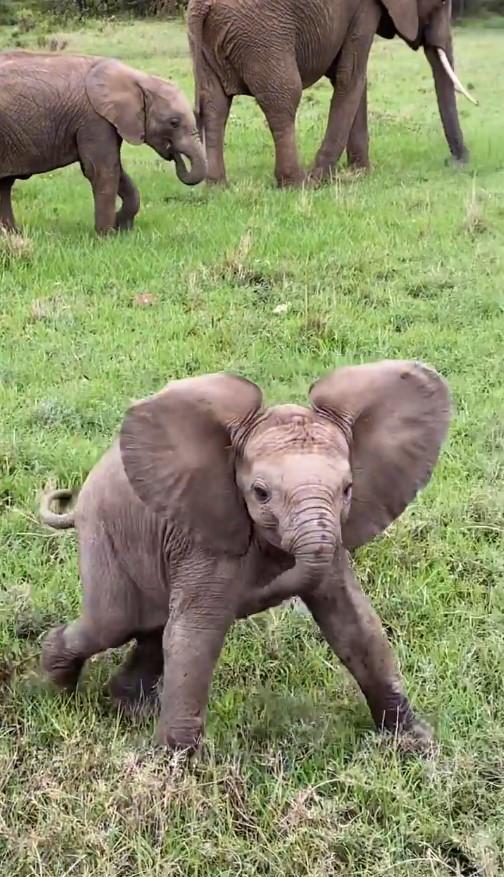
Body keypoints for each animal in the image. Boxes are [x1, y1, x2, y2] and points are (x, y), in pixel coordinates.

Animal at [0, 52, 207, 234]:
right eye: (174, 122)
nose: (175, 155)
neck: (137, 79)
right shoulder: (94, 119)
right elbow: (102, 170)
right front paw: (106, 237)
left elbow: (118, 171)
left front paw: (123, 227)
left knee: (4, 185)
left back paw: (12, 235)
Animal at [39, 360, 451, 753]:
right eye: (260, 493)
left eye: (348, 489)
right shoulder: (209, 536)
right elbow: (197, 633)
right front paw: (176, 764)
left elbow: (355, 623)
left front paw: (415, 744)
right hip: (103, 534)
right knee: (114, 622)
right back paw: (58, 687)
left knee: (151, 629)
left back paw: (129, 708)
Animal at [187, 0, 475, 186]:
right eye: (441, 3)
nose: (455, 162)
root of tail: (203, 7)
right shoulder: (363, 10)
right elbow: (351, 75)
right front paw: (322, 178)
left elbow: (351, 78)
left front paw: (361, 173)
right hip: (262, 36)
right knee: (284, 99)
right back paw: (297, 183)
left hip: (207, 45)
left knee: (214, 106)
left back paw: (217, 185)